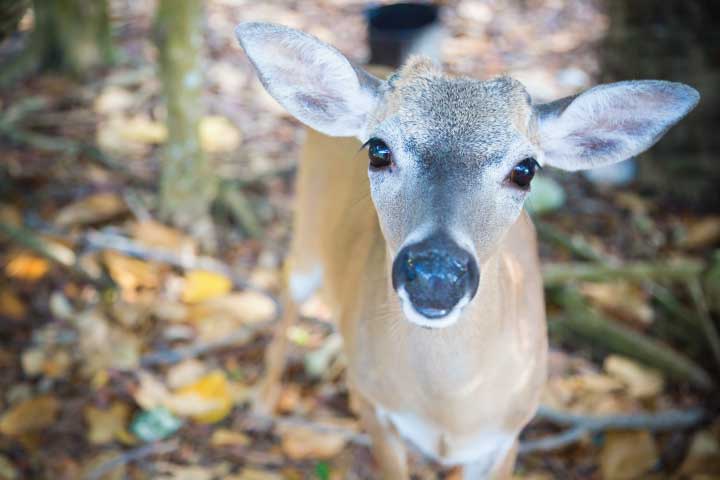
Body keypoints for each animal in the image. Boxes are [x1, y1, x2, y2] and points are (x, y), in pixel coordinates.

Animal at [233, 21, 700, 476]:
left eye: (525, 170)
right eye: (379, 150)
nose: (435, 274)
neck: (450, 408)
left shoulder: (506, 437)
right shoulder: (381, 417)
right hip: (307, 230)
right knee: (290, 294)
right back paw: (261, 406)